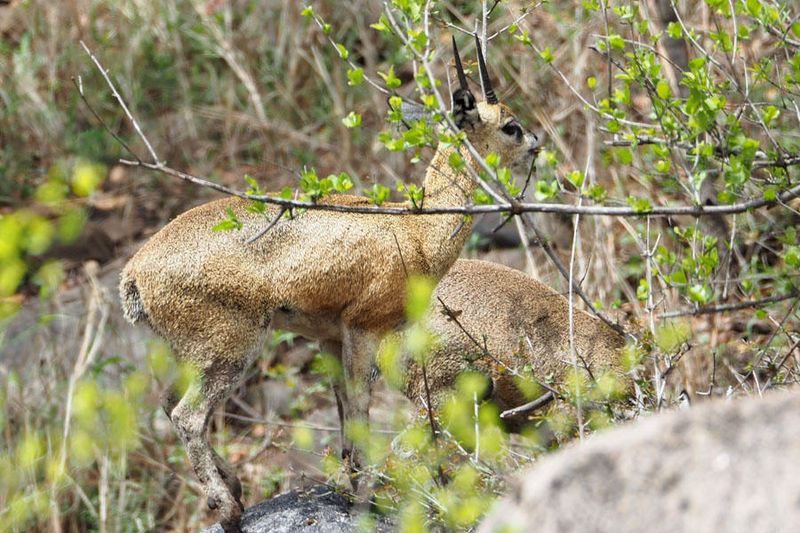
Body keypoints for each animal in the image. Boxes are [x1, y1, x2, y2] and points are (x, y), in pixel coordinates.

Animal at [120, 36, 540, 532]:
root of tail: (134, 272)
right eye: (510, 126)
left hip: (191, 353)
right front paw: (362, 499)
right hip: (231, 347)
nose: (537, 144)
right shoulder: (363, 330)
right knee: (187, 415)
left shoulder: (328, 338)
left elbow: (345, 415)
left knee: (169, 403)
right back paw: (228, 508)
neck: (415, 231)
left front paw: (349, 488)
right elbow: (359, 409)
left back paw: (236, 489)